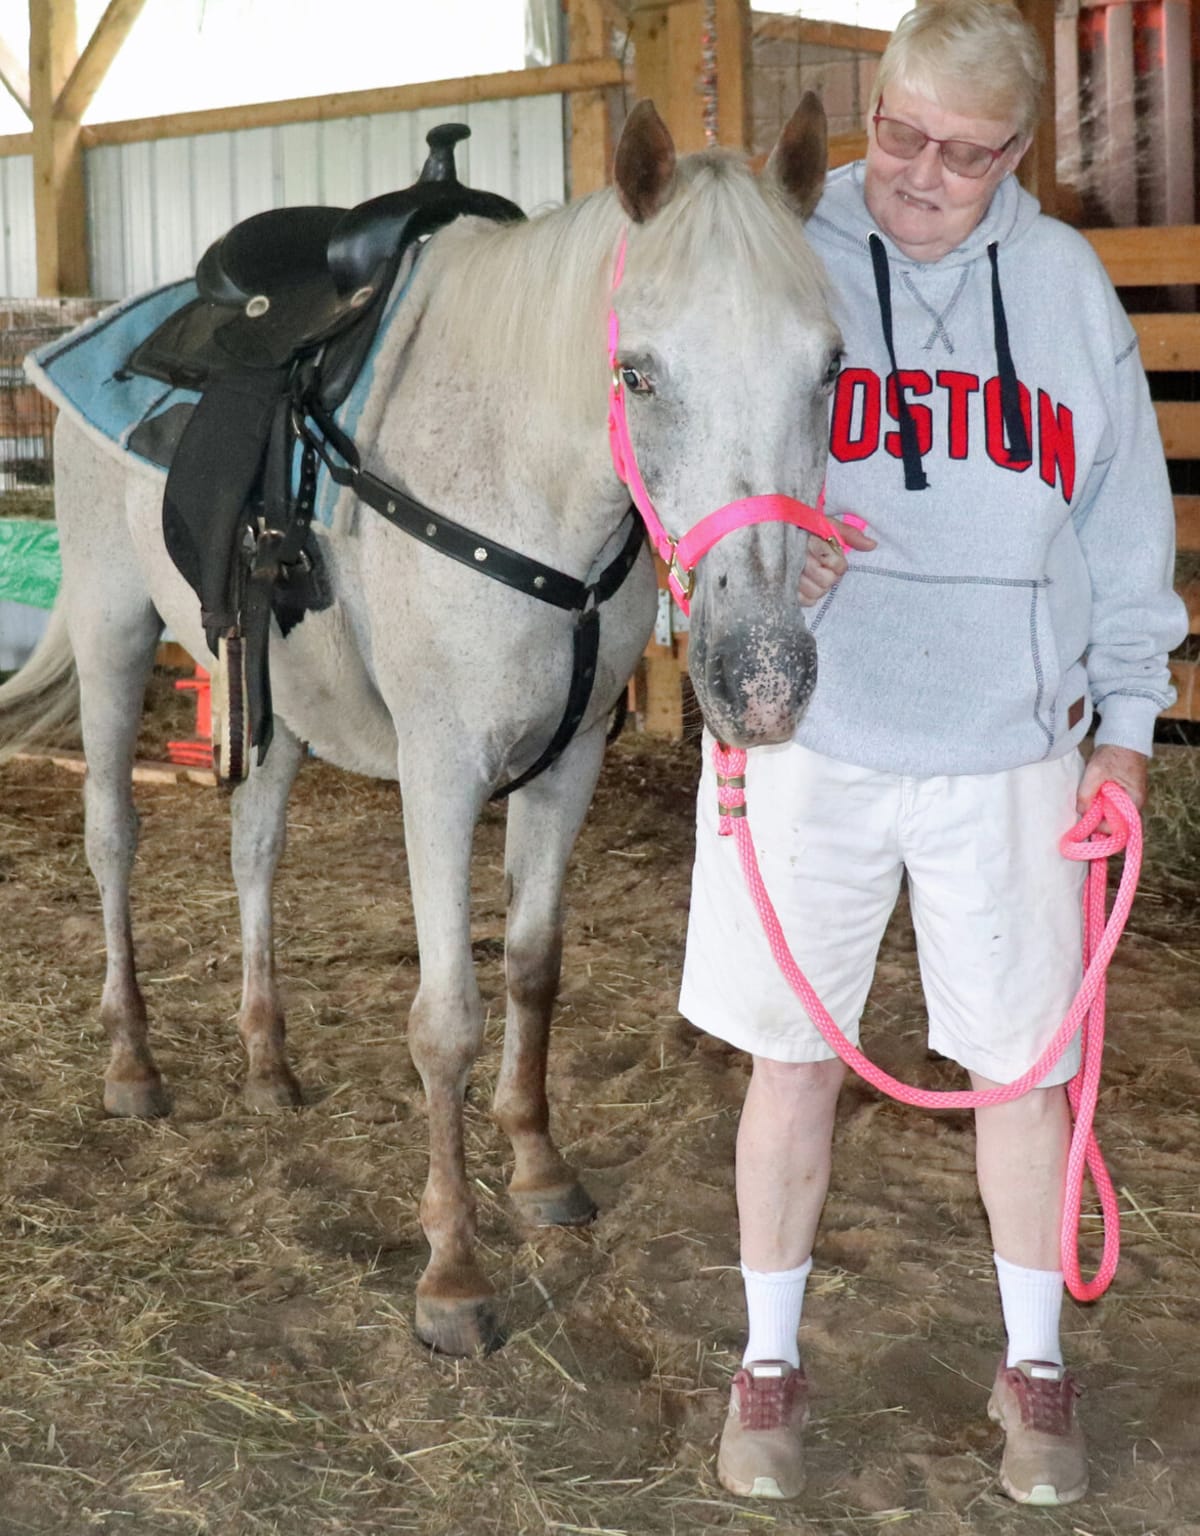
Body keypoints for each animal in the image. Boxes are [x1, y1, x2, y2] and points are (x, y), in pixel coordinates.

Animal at [0, 98, 842, 1356]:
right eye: (636, 373)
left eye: (829, 366)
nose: (766, 676)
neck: (524, 476)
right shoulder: (442, 772)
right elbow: (445, 1015)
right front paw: (452, 1271)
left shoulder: (569, 763)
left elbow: (535, 968)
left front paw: (539, 1166)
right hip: (111, 628)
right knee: (113, 840)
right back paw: (134, 1062)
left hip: (273, 698)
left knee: (254, 853)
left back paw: (267, 1062)